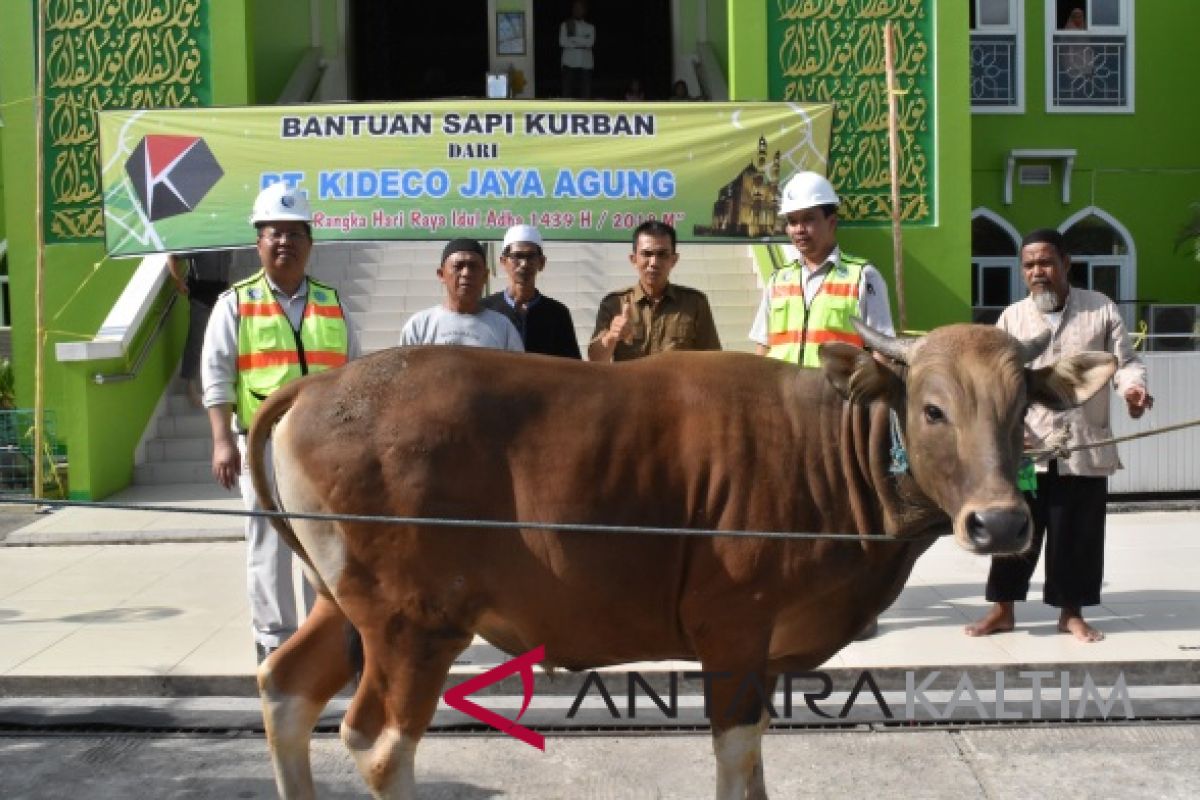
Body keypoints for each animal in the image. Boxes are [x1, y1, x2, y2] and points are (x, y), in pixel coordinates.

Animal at [246, 321, 1113, 796]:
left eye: (1020, 408)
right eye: (933, 409)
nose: (1001, 523)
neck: (824, 450)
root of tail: (313, 389)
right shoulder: (732, 632)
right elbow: (736, 758)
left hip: (342, 606)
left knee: (286, 687)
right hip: (413, 625)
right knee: (379, 745)